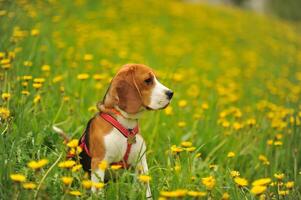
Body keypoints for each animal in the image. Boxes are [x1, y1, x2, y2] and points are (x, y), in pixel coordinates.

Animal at [77, 63, 172, 197]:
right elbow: (98, 191)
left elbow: (147, 190)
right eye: (148, 80)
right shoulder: (99, 163)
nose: (171, 93)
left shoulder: (141, 162)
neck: (126, 125)